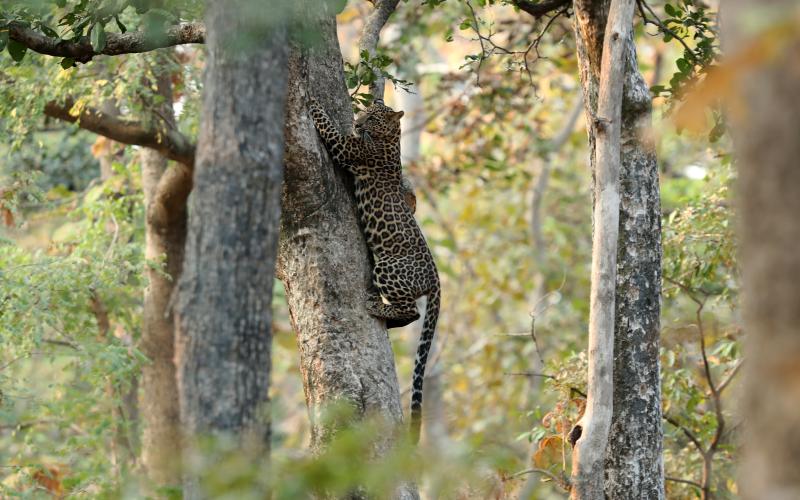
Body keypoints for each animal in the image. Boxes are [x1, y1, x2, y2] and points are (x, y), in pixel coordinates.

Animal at [310, 95, 440, 444]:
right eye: (364, 112)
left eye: (372, 117)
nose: (357, 121)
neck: (391, 139)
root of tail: (437, 279)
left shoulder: (347, 149)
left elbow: (330, 129)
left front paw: (313, 105)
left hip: (387, 268)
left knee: (411, 311)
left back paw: (374, 306)